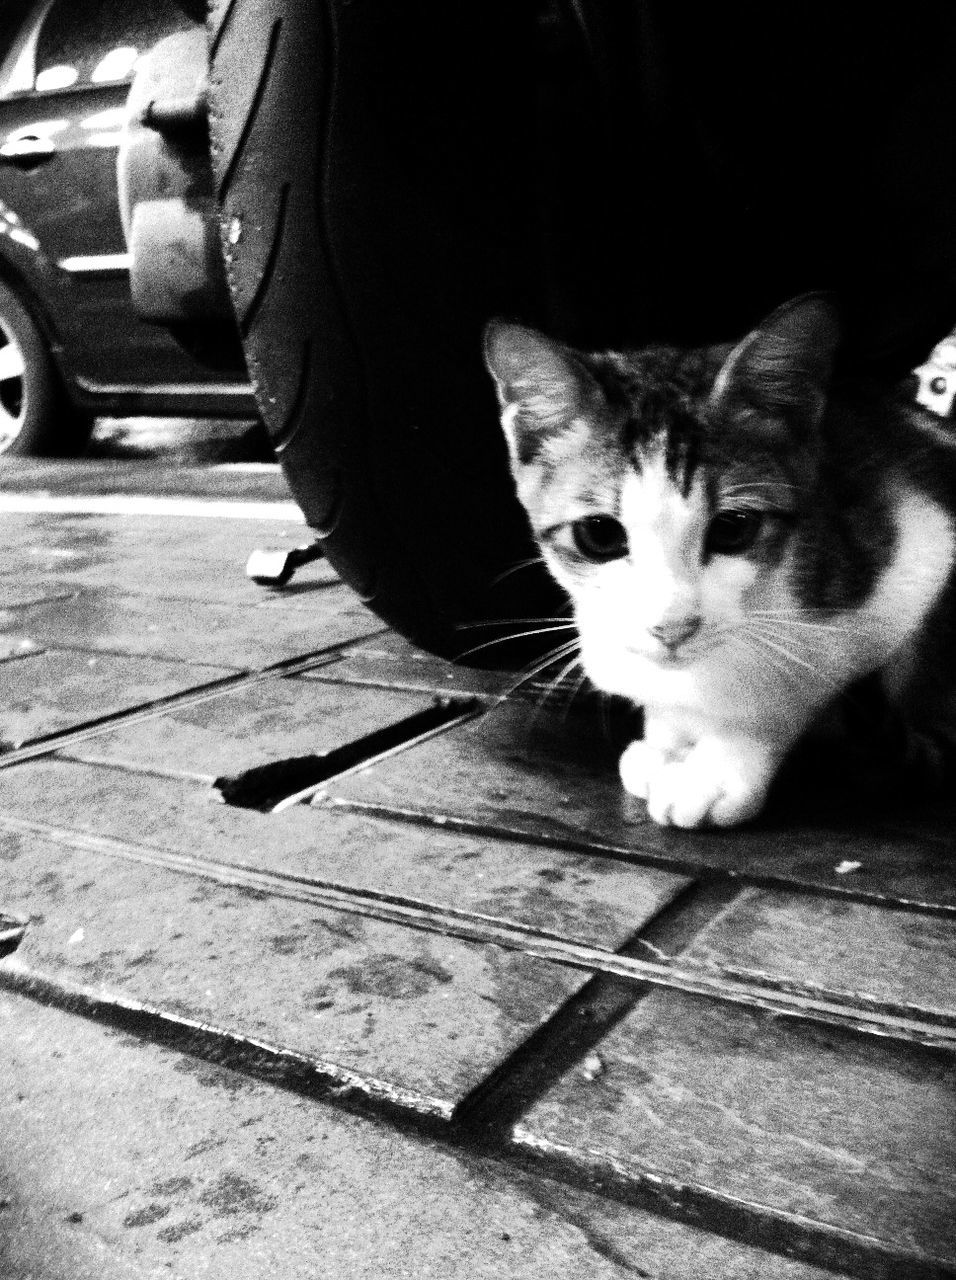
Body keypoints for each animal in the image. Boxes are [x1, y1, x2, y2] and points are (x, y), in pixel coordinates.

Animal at [486, 293, 956, 824]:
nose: (672, 627)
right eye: (600, 535)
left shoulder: (920, 546)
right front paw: (666, 742)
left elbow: (795, 681)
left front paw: (718, 763)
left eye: (733, 528)